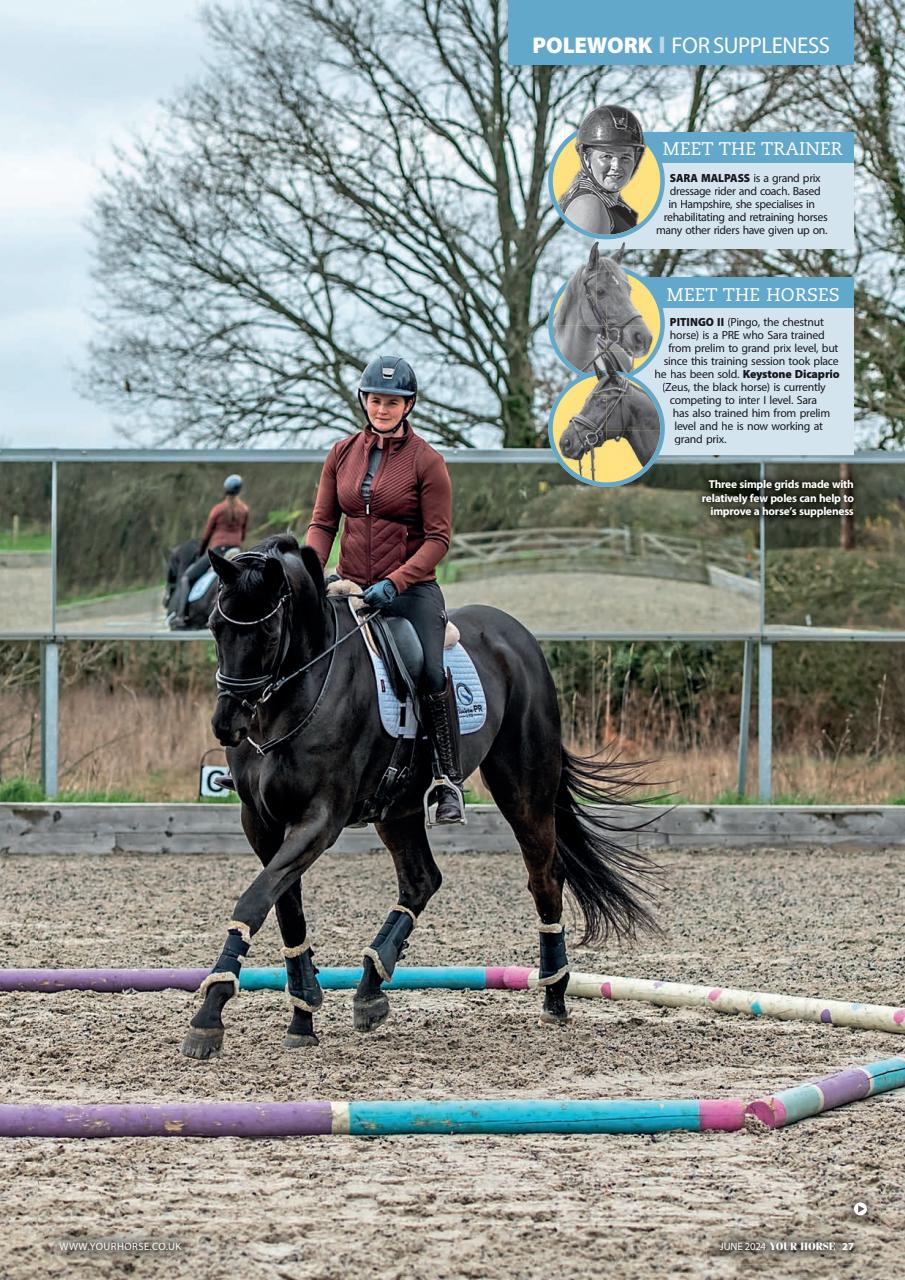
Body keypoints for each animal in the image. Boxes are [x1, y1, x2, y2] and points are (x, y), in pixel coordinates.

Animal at [181, 534, 658, 1059]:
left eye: (266, 635)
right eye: (215, 627)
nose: (227, 725)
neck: (295, 696)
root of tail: (517, 636)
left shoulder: (320, 821)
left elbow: (254, 901)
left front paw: (209, 1015)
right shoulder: (262, 822)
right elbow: (283, 906)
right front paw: (303, 1011)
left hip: (523, 789)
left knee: (545, 876)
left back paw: (554, 994)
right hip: (398, 807)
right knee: (421, 880)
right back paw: (370, 989)